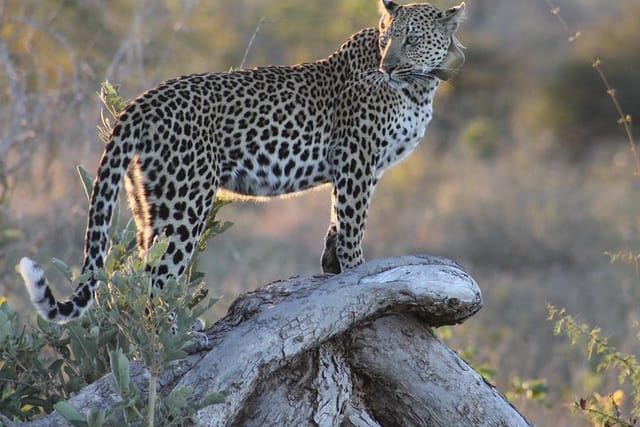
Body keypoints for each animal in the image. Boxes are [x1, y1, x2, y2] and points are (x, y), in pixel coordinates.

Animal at [16, 0, 464, 324]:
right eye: (388, 40)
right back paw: (175, 339)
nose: (387, 67)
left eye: (412, 40)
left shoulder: (353, 168)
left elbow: (337, 222)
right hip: (184, 206)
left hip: (150, 204)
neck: (420, 87)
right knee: (160, 280)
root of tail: (141, 103)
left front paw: (332, 267)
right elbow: (353, 226)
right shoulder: (357, 161)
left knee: (139, 275)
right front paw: (357, 274)